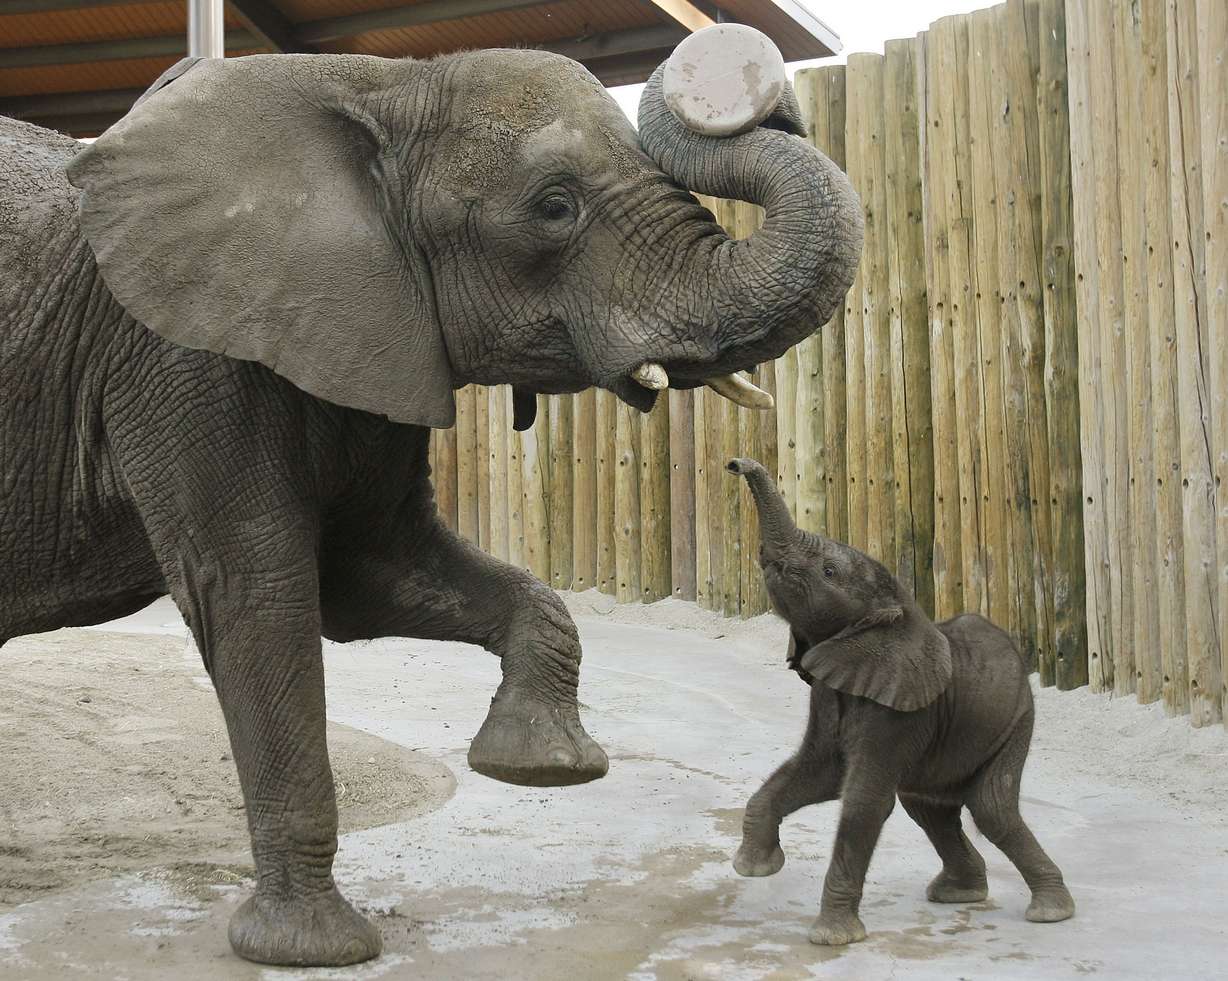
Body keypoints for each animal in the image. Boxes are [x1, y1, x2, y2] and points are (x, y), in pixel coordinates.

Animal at [0, 45, 862, 966]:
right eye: (554, 207)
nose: (742, 76)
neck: (380, 82)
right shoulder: (183, 352)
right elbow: (255, 593)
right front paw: (312, 949)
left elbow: (369, 577)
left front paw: (540, 766)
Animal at [725, 458, 1074, 946]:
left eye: (829, 572)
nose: (734, 463)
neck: (896, 609)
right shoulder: (832, 692)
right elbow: (817, 773)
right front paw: (754, 868)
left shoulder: (900, 712)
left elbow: (863, 802)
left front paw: (831, 937)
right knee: (929, 810)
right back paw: (959, 895)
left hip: (1016, 721)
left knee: (991, 810)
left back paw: (1050, 912)